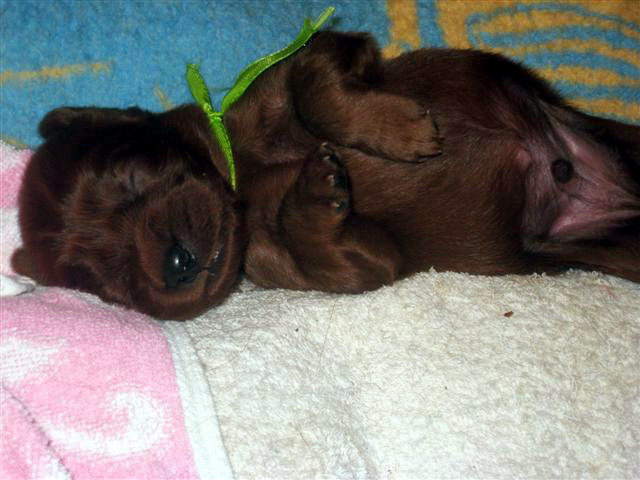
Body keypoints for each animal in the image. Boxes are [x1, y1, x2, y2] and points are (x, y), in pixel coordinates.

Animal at [12, 31, 640, 319]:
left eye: (128, 176)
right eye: (110, 283)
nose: (176, 264)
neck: (243, 182)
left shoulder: (322, 51)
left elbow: (314, 91)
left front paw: (401, 131)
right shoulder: (362, 262)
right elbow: (325, 245)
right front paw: (317, 194)